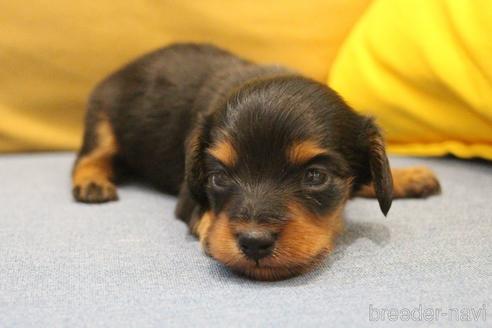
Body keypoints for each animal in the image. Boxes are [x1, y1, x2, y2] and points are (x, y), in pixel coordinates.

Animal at [71, 43, 440, 280]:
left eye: (315, 176)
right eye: (219, 177)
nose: (253, 242)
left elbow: (371, 180)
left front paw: (407, 176)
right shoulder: (189, 195)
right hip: (103, 118)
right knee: (89, 156)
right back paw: (91, 182)